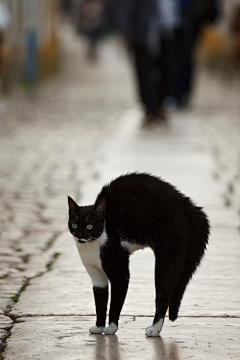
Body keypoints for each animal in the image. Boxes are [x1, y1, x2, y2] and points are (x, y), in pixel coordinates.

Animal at [68, 173, 210, 336]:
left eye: (90, 226)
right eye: (74, 224)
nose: (79, 235)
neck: (92, 246)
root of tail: (188, 205)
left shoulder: (120, 272)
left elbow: (115, 302)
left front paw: (111, 327)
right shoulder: (96, 276)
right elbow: (100, 302)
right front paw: (98, 327)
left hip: (167, 258)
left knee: (163, 296)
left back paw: (154, 329)